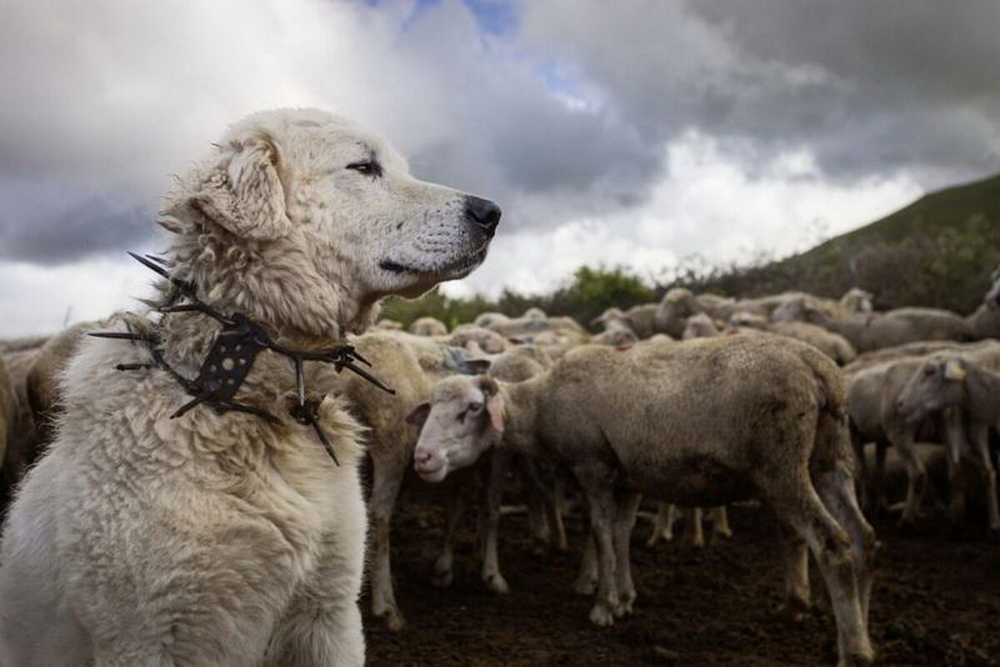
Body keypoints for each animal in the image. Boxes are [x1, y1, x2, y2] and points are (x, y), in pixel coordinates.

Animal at [412, 336, 876, 664]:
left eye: (472, 409)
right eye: (431, 408)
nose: (423, 457)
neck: (542, 407)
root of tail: (817, 368)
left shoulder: (593, 466)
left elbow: (600, 532)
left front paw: (603, 606)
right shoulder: (628, 476)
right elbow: (620, 533)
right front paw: (626, 597)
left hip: (782, 461)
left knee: (833, 545)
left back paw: (851, 649)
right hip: (829, 455)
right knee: (862, 539)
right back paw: (861, 631)